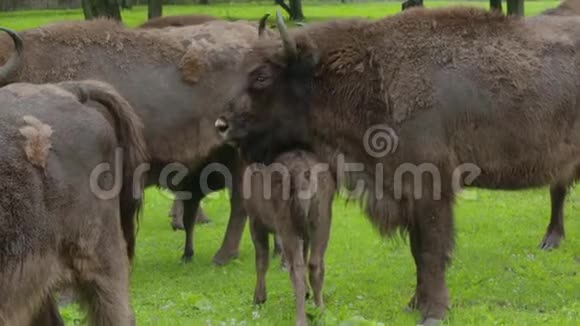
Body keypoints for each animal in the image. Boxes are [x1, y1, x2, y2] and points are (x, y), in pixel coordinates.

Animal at [242, 150, 336, 326]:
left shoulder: (255, 220)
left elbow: (261, 261)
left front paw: (258, 299)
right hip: (322, 219)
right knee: (315, 263)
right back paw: (320, 311)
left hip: (286, 223)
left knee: (296, 268)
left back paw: (300, 318)